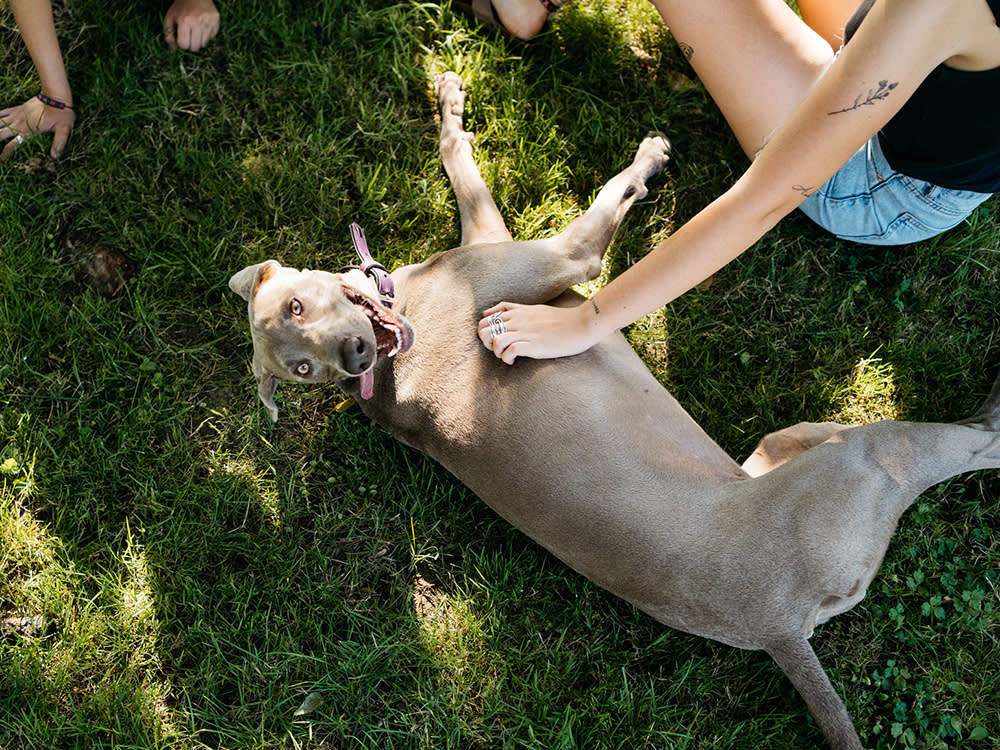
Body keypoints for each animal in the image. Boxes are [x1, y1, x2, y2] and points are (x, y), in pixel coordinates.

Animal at [230, 72, 1000, 750]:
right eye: (301, 366)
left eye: (297, 314)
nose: (355, 357)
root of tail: (778, 626)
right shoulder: (566, 257)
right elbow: (607, 198)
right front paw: (649, 159)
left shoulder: (487, 242)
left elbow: (459, 163)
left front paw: (448, 99)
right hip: (873, 460)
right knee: (973, 440)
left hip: (785, 445)